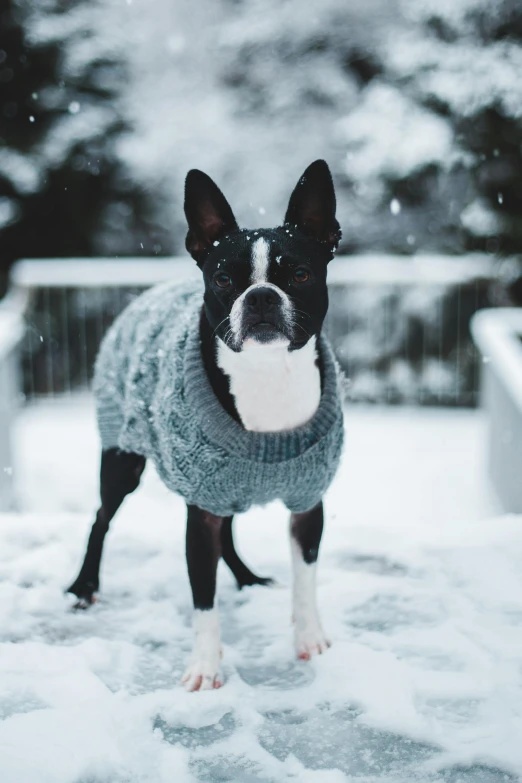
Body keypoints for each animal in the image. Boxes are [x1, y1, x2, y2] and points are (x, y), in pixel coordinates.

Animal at [67, 161, 342, 692]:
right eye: (223, 278)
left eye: (300, 274)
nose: (261, 296)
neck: (265, 373)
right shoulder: (200, 512)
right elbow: (203, 599)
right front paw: (205, 667)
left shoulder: (307, 502)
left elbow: (306, 578)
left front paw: (310, 639)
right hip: (122, 462)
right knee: (100, 519)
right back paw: (84, 586)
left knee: (229, 532)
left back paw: (248, 577)